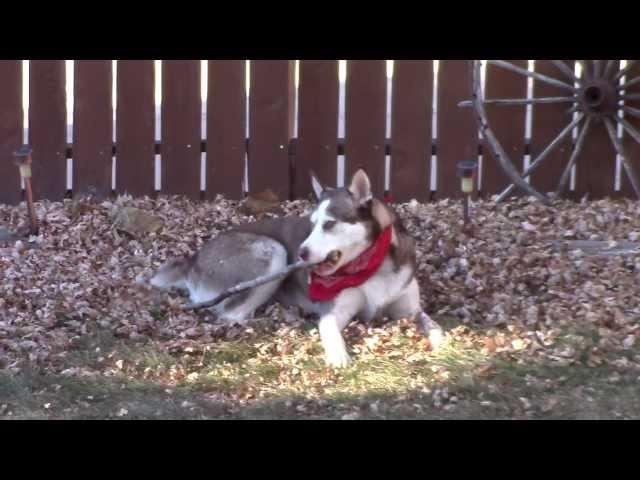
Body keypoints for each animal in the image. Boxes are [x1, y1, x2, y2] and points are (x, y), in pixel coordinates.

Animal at [150, 169, 442, 368]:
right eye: (311, 224)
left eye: (329, 224)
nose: (301, 253)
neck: (372, 266)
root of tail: (194, 258)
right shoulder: (333, 313)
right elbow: (330, 331)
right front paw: (338, 356)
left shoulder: (410, 310)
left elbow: (434, 326)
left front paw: (444, 343)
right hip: (273, 252)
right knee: (230, 313)